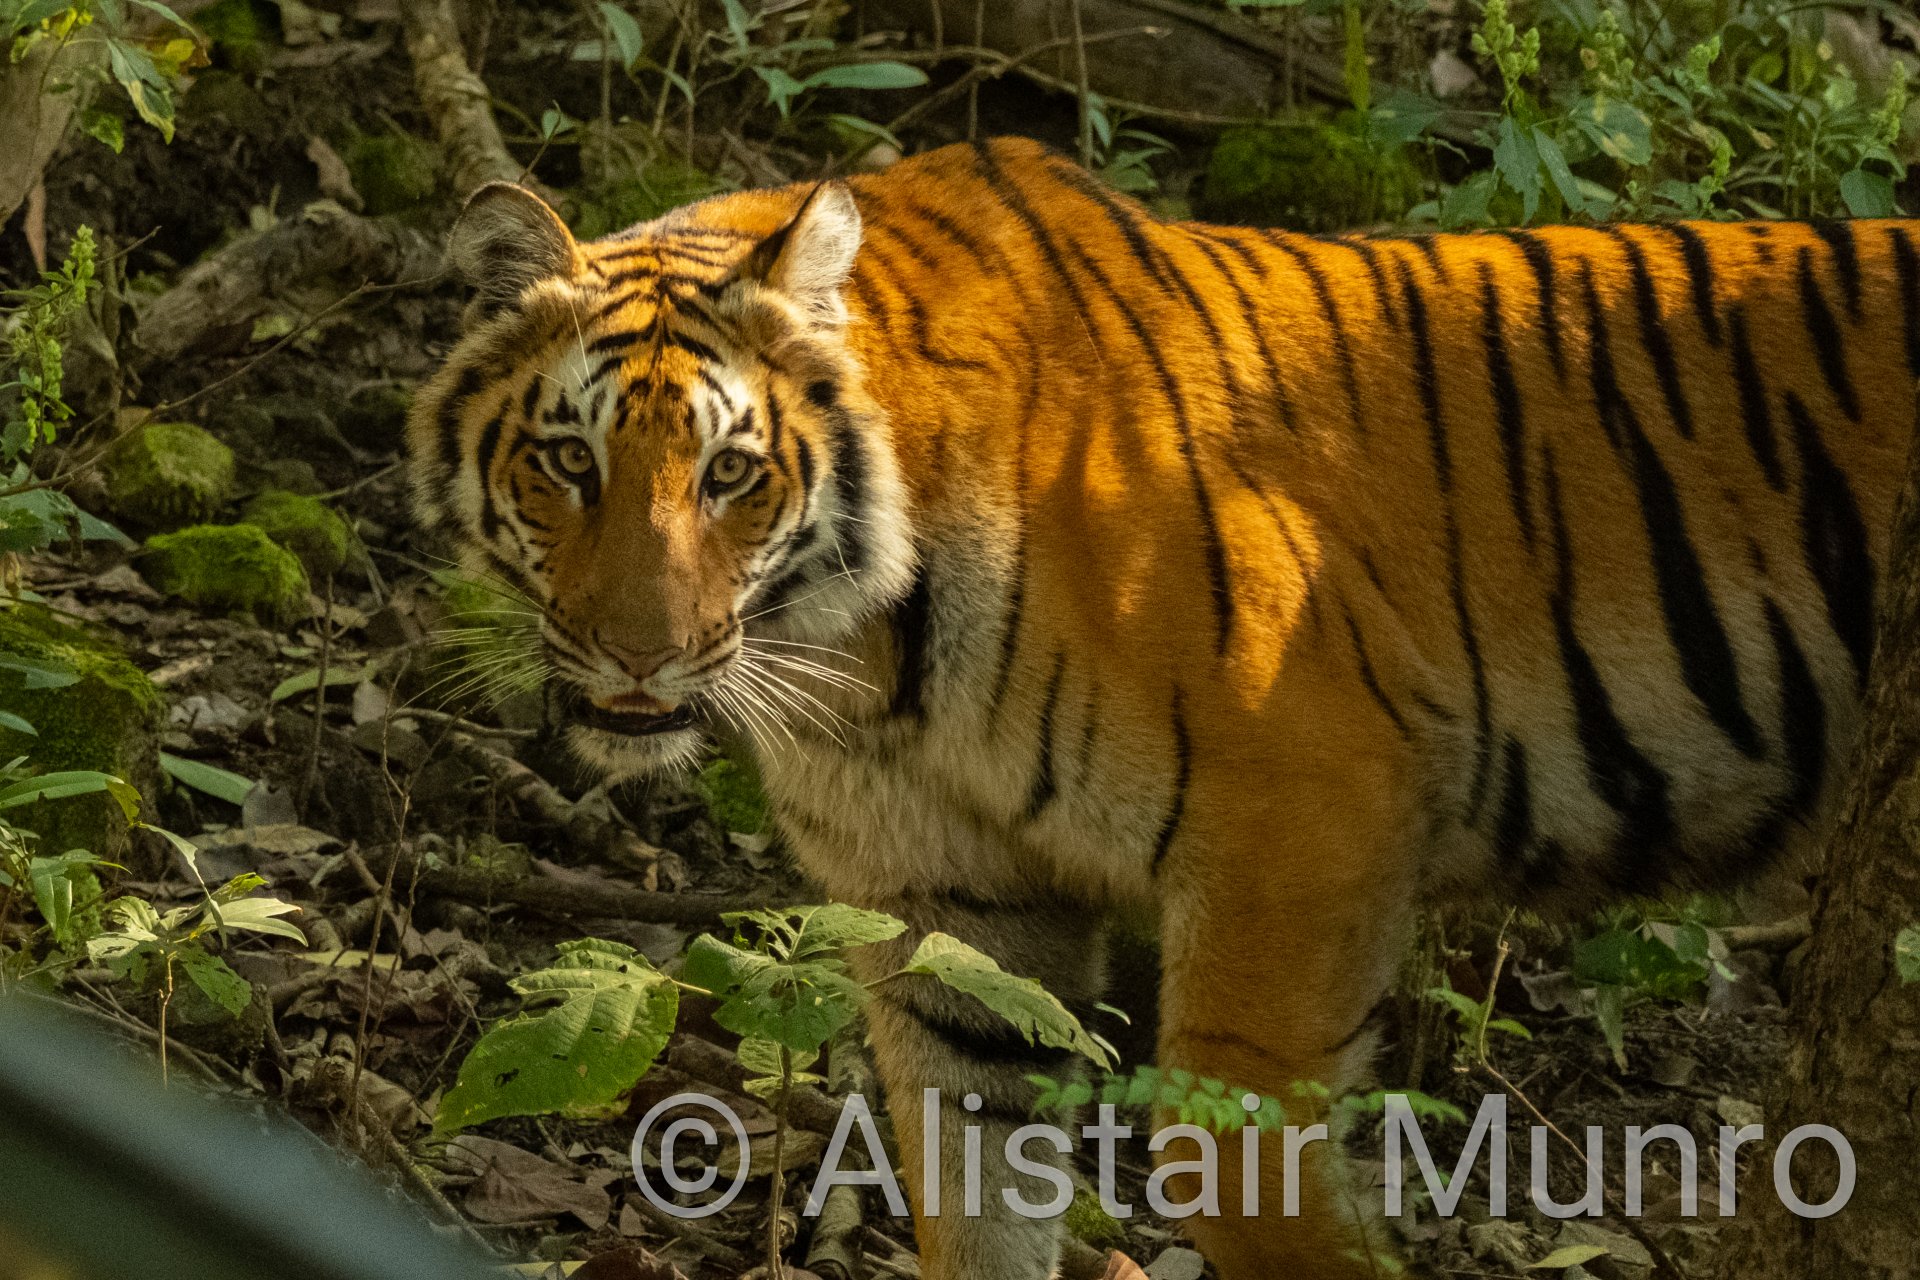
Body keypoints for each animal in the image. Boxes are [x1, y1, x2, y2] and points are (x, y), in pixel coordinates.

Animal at [407, 135, 1920, 1279]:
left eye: (729, 472)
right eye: (569, 461)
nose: (639, 658)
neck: (868, 671)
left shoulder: (1305, 813)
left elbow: (1229, 1157)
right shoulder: (957, 912)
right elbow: (973, 1189)